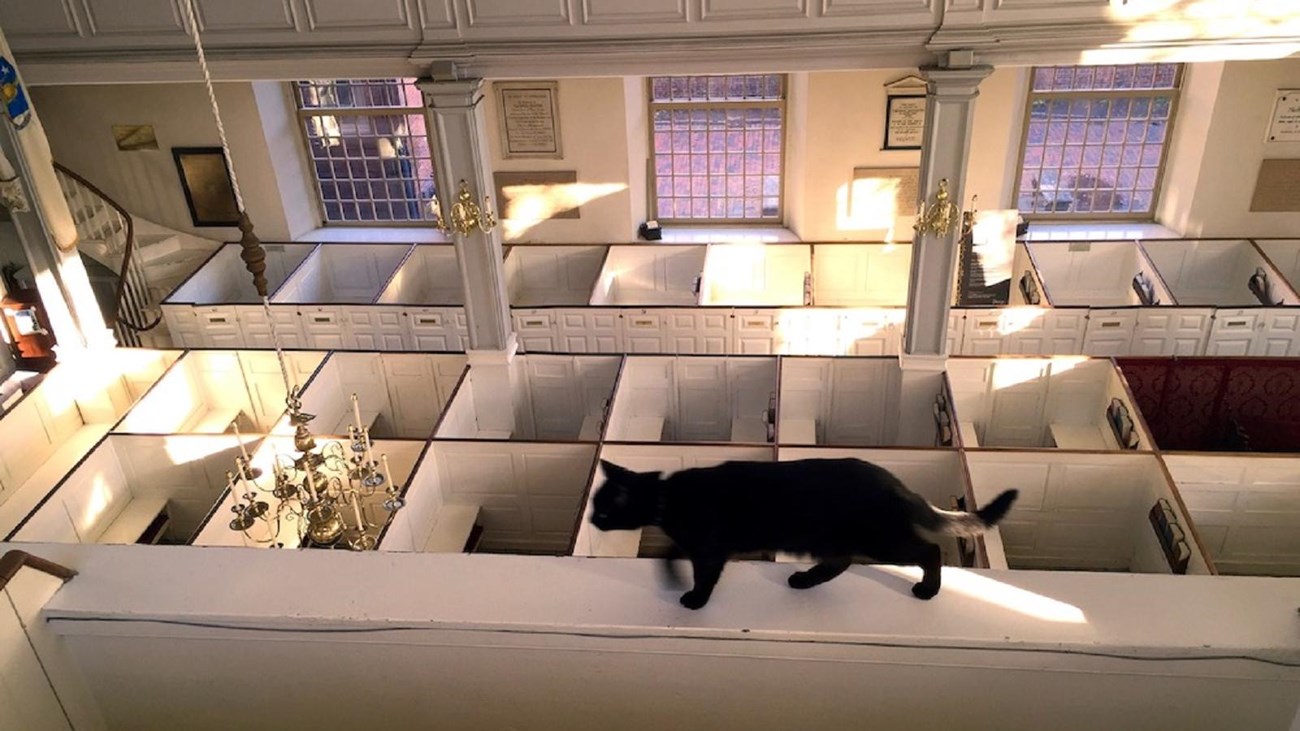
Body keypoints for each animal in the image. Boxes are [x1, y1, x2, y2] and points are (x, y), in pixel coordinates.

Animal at [587, 455, 1013, 608]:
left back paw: (928, 590)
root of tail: (897, 483)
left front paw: (694, 599)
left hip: (882, 539)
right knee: (838, 563)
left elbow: (703, 574)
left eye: (602, 509)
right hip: (831, 539)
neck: (668, 496)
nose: (591, 520)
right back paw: (803, 581)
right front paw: (672, 578)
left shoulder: (710, 548)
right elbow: (671, 553)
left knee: (929, 552)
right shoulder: (699, 543)